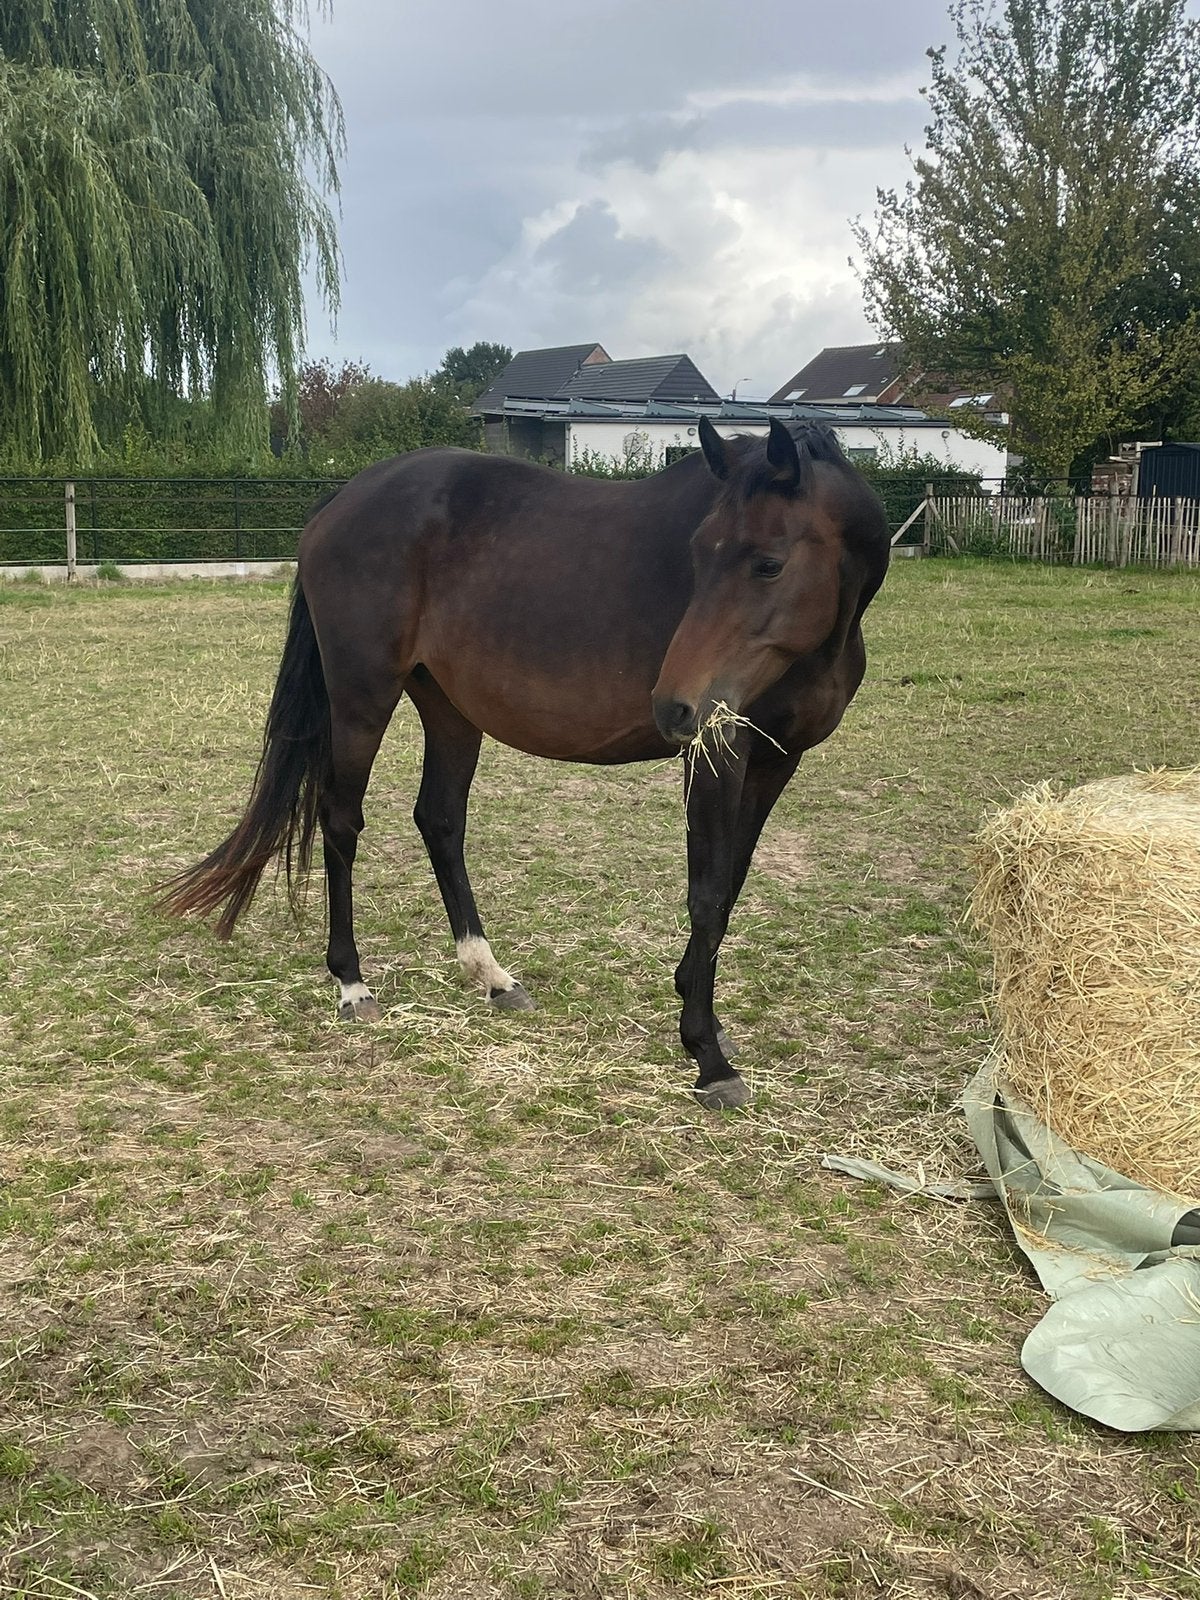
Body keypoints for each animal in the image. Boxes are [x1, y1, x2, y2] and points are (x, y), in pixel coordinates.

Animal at [162, 416, 890, 1108]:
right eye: (696, 554)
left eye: (768, 564)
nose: (675, 705)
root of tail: (340, 501)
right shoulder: (719, 752)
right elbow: (707, 894)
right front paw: (708, 1056)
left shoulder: (775, 760)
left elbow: (730, 886)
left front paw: (698, 1011)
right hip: (362, 696)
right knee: (341, 821)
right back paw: (352, 983)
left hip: (449, 707)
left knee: (440, 820)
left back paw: (491, 976)